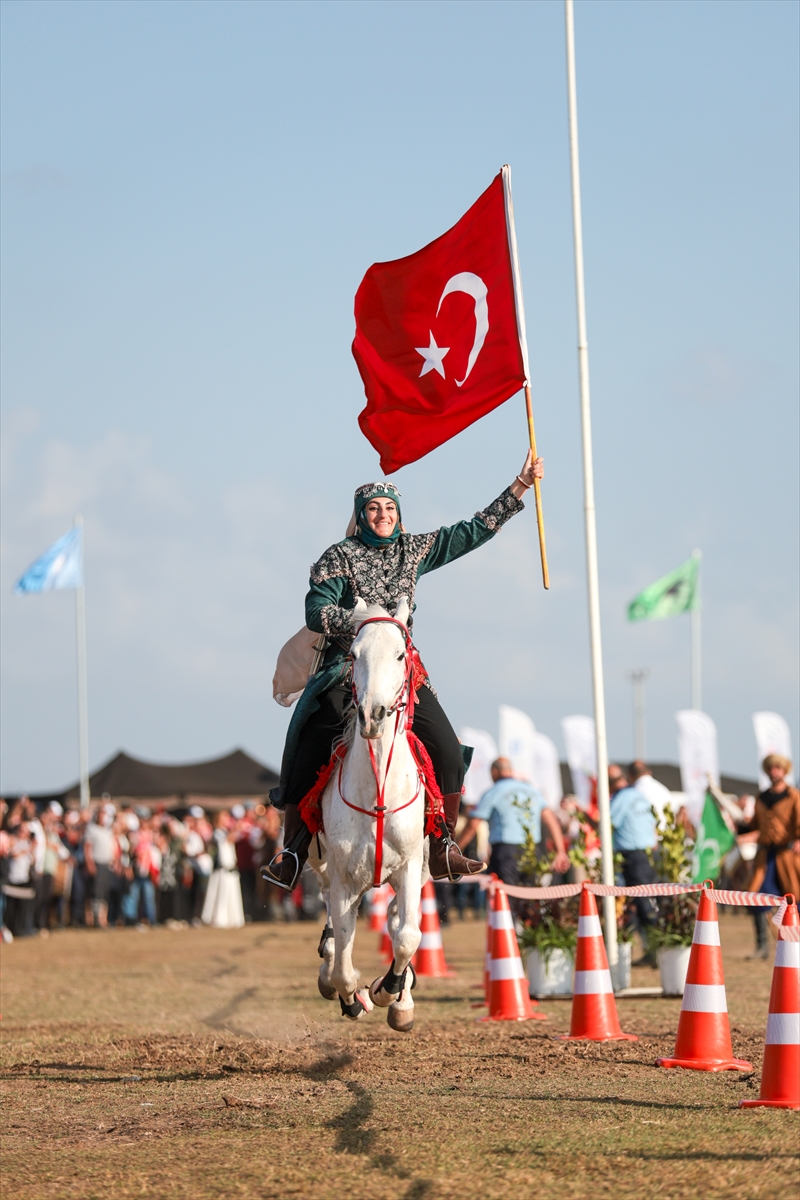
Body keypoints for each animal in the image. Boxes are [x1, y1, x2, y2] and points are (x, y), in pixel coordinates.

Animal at [309, 597, 429, 1032]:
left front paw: (389, 990)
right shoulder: (344, 879)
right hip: (321, 865)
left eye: (399, 654)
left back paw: (401, 997)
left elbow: (408, 936)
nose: (373, 715)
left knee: (397, 923)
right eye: (354, 654)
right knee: (333, 926)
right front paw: (353, 999)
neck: (379, 790)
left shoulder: (410, 867)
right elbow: (344, 967)